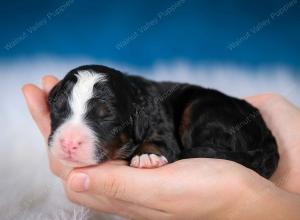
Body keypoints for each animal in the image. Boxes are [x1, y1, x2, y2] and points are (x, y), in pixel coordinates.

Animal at [47, 64, 278, 178]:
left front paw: (147, 156)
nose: (68, 143)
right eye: (58, 108)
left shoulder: (162, 126)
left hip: (202, 108)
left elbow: (161, 142)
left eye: (106, 116)